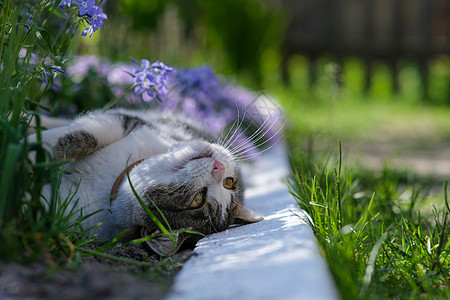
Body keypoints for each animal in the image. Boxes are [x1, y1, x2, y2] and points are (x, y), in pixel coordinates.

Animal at [29, 109, 264, 256]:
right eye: (229, 183)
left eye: (197, 199)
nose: (219, 167)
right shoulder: (132, 124)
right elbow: (83, 136)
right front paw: (33, 143)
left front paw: (26, 152)